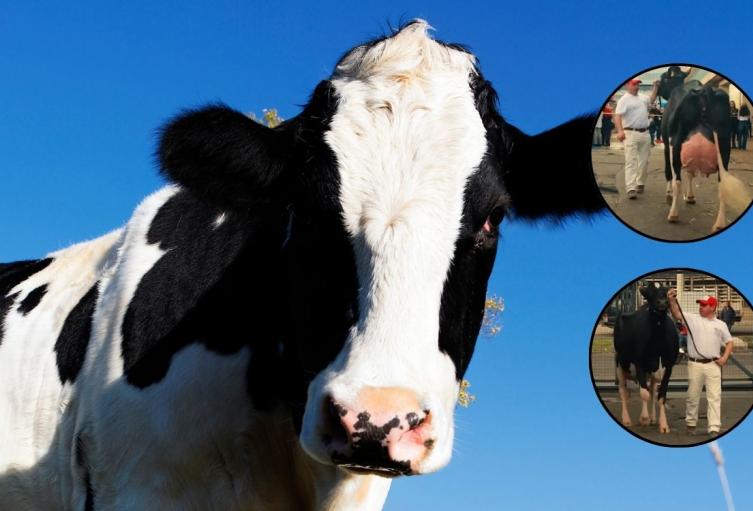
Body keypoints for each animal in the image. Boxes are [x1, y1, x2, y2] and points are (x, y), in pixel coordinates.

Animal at [614, 284, 679, 434]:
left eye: (666, 293)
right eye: (649, 293)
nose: (662, 302)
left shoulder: (668, 368)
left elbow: (660, 397)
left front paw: (664, 425)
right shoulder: (639, 364)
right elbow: (644, 394)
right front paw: (644, 419)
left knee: (653, 390)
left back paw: (653, 418)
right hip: (619, 363)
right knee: (623, 392)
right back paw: (627, 419)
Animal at [659, 66, 750, 231]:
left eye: (663, 78)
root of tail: (704, 89)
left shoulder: (666, 143)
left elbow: (669, 172)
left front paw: (669, 195)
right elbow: (690, 173)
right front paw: (690, 196)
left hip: (676, 142)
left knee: (677, 180)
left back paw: (673, 214)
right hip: (724, 147)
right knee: (722, 186)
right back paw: (719, 224)